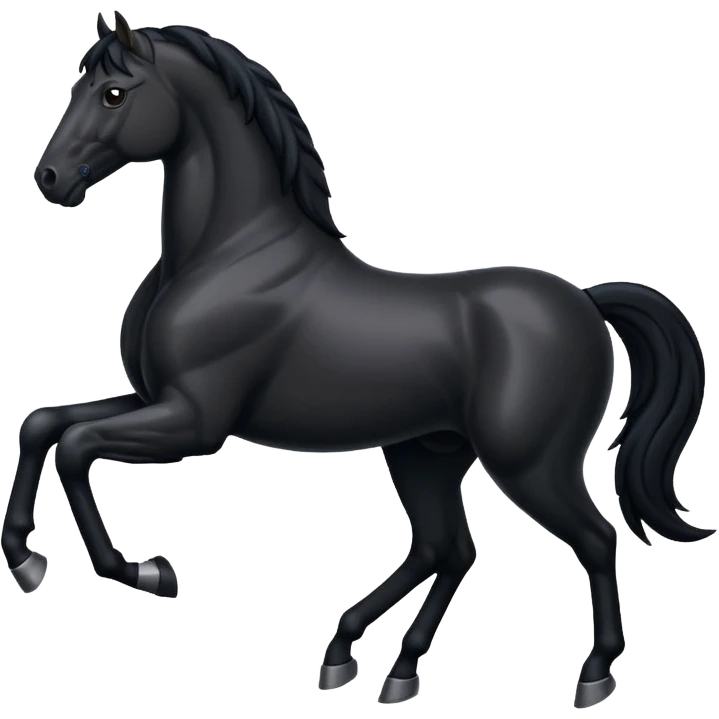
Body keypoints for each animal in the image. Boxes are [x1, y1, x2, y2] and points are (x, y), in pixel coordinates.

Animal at [11, 11, 712, 709]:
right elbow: (44, 425)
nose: (50, 179)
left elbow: (76, 447)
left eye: (113, 94)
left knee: (594, 540)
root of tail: (585, 300)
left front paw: (147, 573)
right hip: (425, 453)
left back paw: (591, 674)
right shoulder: (152, 400)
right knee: (446, 548)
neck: (227, 253)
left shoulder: (194, 422)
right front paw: (25, 559)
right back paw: (374, 664)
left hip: (531, 464)